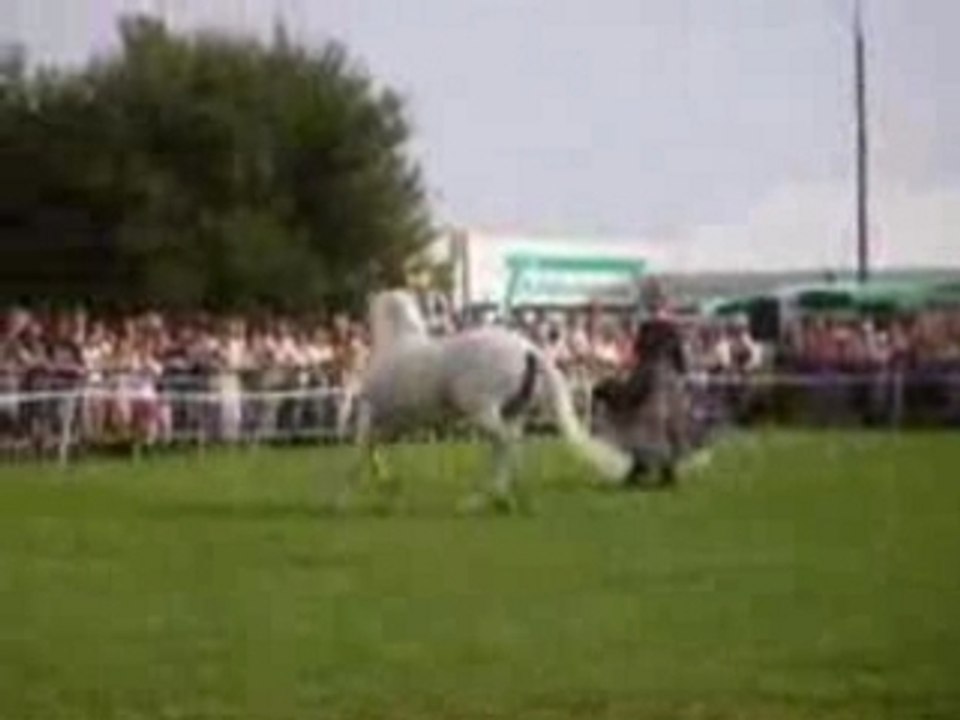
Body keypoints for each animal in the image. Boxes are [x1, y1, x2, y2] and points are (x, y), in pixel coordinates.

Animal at [336, 289, 641, 512]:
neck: (397, 344)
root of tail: (528, 348)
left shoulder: (370, 413)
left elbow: (360, 449)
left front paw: (345, 496)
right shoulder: (394, 423)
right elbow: (372, 448)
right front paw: (385, 480)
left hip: (483, 410)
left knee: (504, 445)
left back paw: (488, 498)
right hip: (513, 412)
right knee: (510, 445)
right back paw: (505, 496)